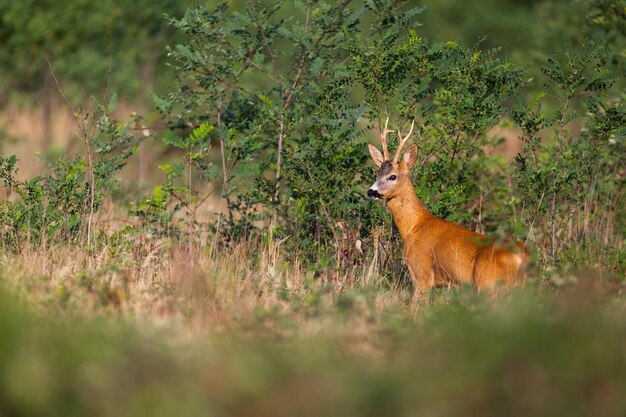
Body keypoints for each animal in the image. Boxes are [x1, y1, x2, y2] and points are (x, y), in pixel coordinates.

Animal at [366, 118, 528, 300]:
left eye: (392, 176)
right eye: (377, 174)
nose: (371, 191)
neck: (414, 227)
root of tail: (521, 257)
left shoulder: (422, 273)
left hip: (488, 284)